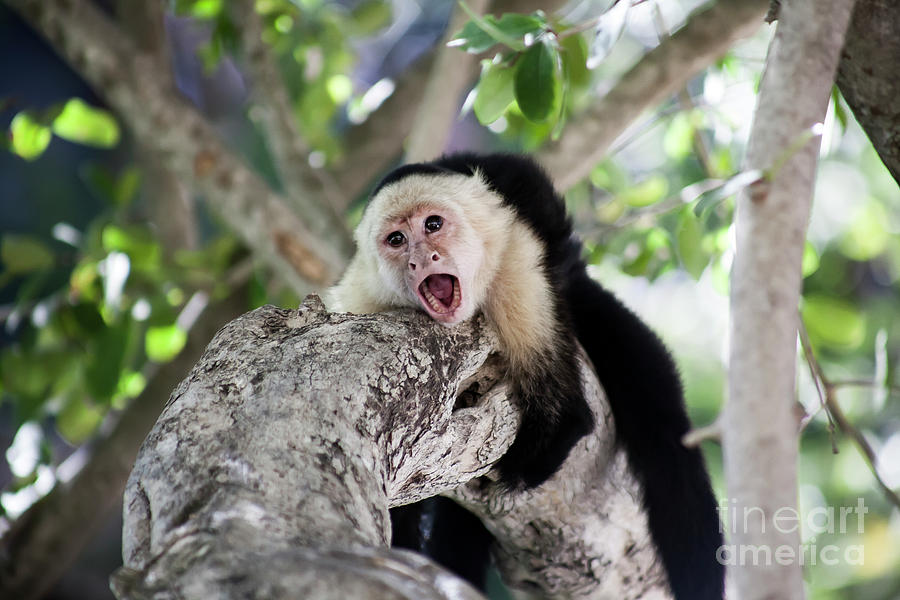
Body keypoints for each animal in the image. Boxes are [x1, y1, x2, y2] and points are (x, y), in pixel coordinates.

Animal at [326, 154, 728, 600]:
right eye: (396, 240)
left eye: (432, 224)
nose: (420, 259)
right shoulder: (365, 300)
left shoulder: (516, 263)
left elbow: (568, 414)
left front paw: (518, 472)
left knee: (663, 434)